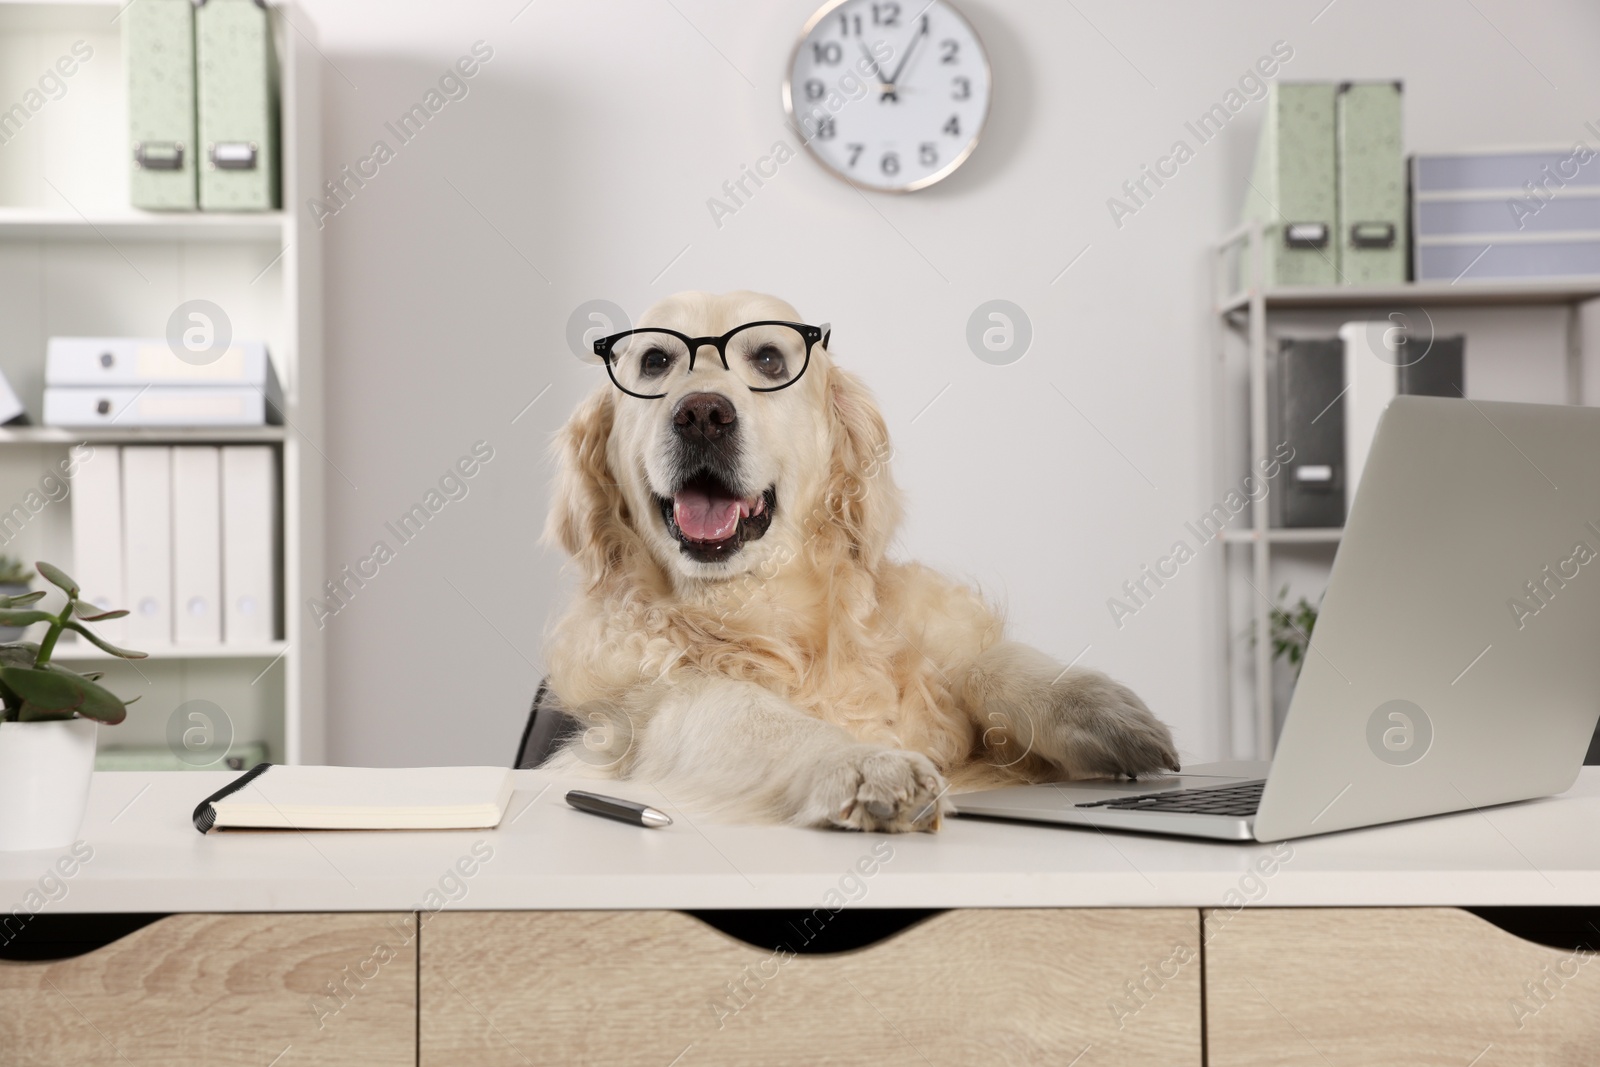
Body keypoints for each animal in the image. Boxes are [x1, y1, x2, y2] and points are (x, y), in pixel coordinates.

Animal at [544, 292, 1184, 831]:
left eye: (769, 358)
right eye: (655, 361)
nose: (702, 414)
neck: (754, 601)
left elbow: (980, 664)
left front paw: (1099, 709)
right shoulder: (653, 709)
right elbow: (755, 714)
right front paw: (863, 763)